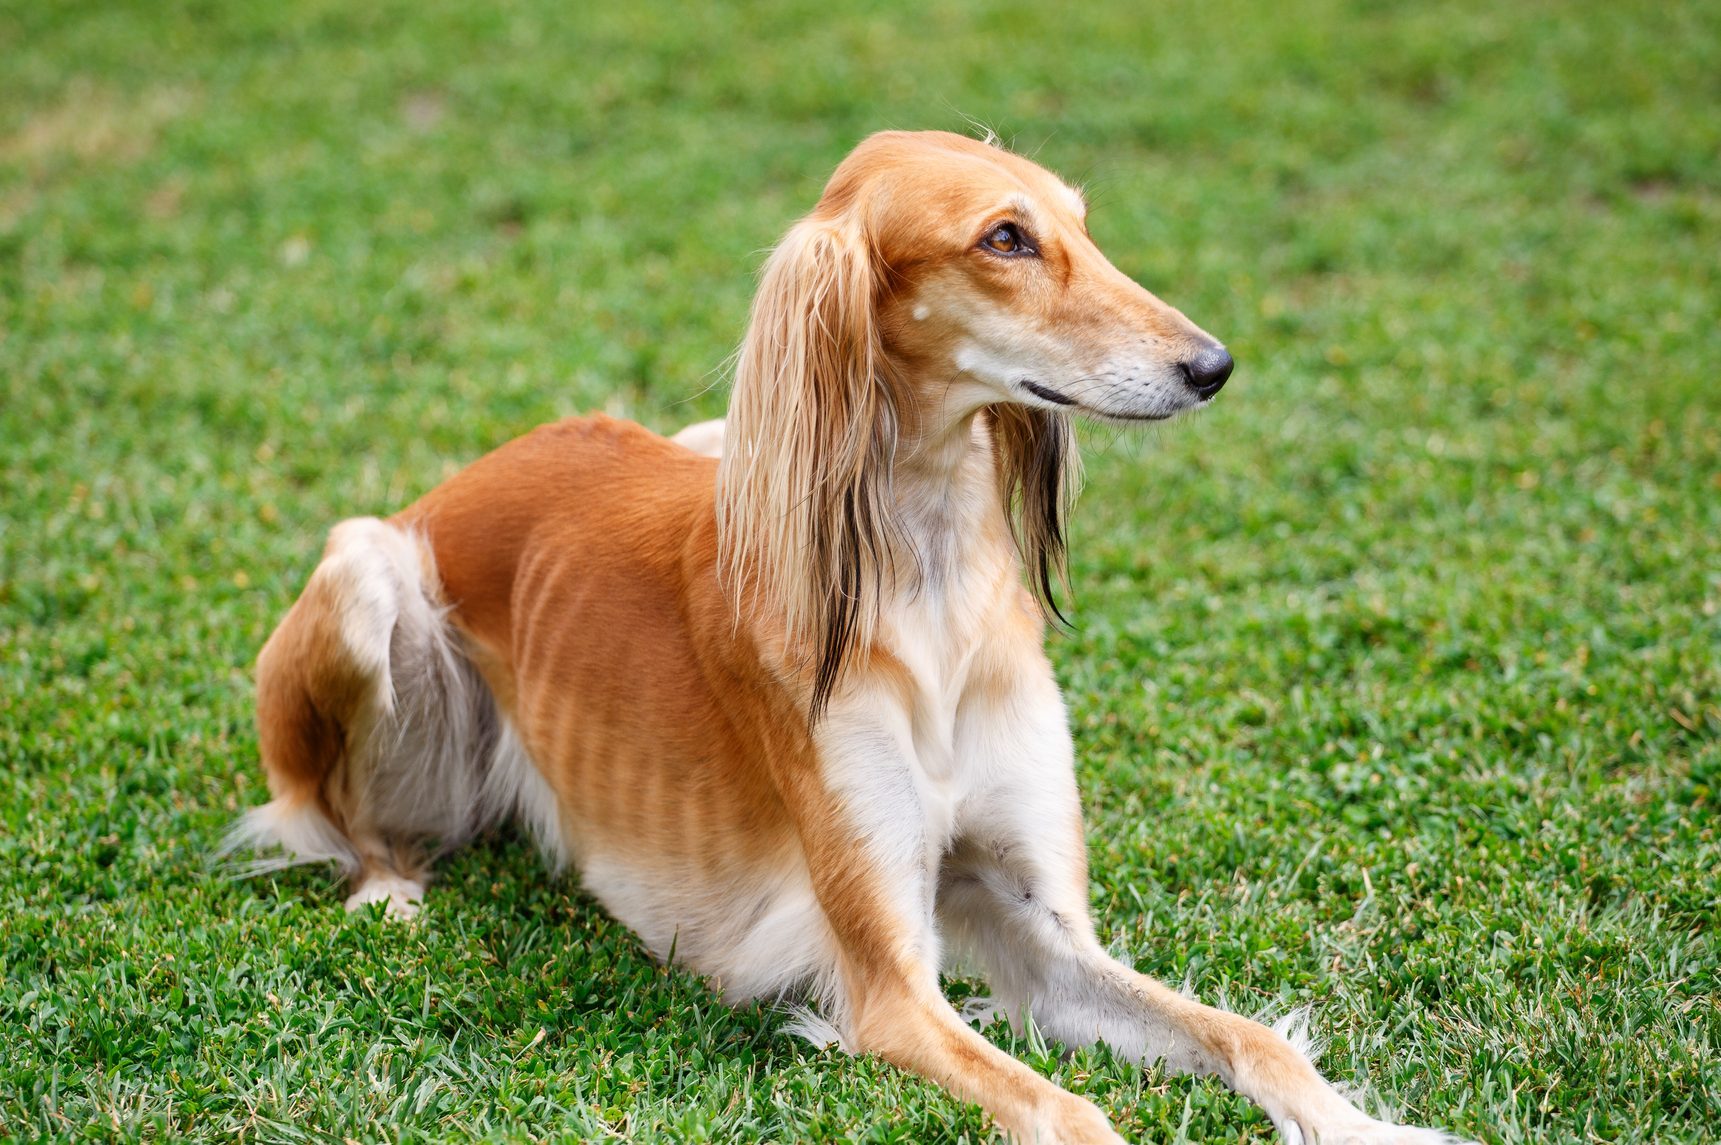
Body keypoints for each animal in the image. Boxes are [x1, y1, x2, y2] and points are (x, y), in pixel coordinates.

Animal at [228, 129, 1459, 1136]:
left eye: (1076, 221)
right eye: (1003, 238)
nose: (1210, 366)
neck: (931, 590)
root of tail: (481, 466)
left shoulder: (1042, 926)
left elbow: (1245, 1034)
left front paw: (1367, 1125)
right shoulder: (888, 986)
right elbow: (1069, 1112)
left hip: (709, 441)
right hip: (365, 569)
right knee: (327, 811)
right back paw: (388, 887)